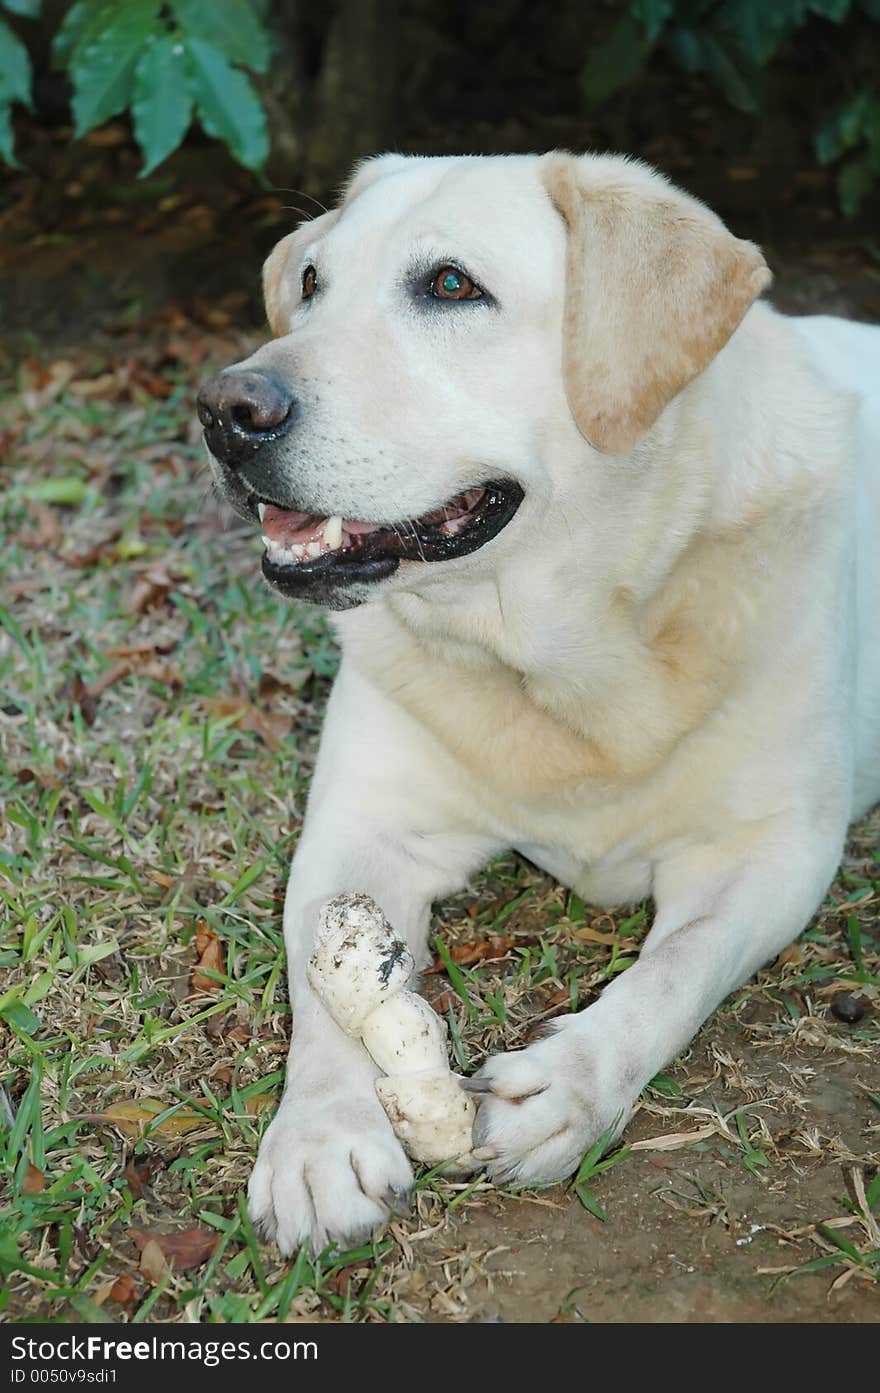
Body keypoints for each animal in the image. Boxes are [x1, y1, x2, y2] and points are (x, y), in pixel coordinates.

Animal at [197, 149, 880, 1253]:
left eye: (450, 285)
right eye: (310, 282)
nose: (227, 410)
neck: (567, 659)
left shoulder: (776, 850)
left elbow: (676, 966)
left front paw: (569, 1082)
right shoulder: (360, 824)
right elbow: (325, 983)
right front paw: (318, 1137)